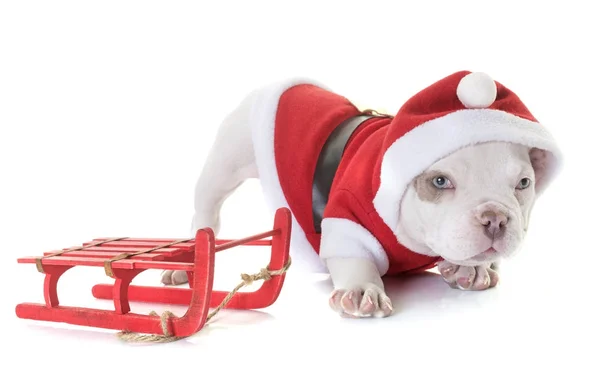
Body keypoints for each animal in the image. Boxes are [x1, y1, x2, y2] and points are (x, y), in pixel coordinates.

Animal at [161, 70, 564, 318]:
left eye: (523, 184)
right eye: (439, 182)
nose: (495, 218)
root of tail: (283, 83)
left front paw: (471, 268)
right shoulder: (346, 219)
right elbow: (354, 258)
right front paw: (360, 289)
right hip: (227, 160)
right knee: (206, 210)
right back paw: (184, 263)